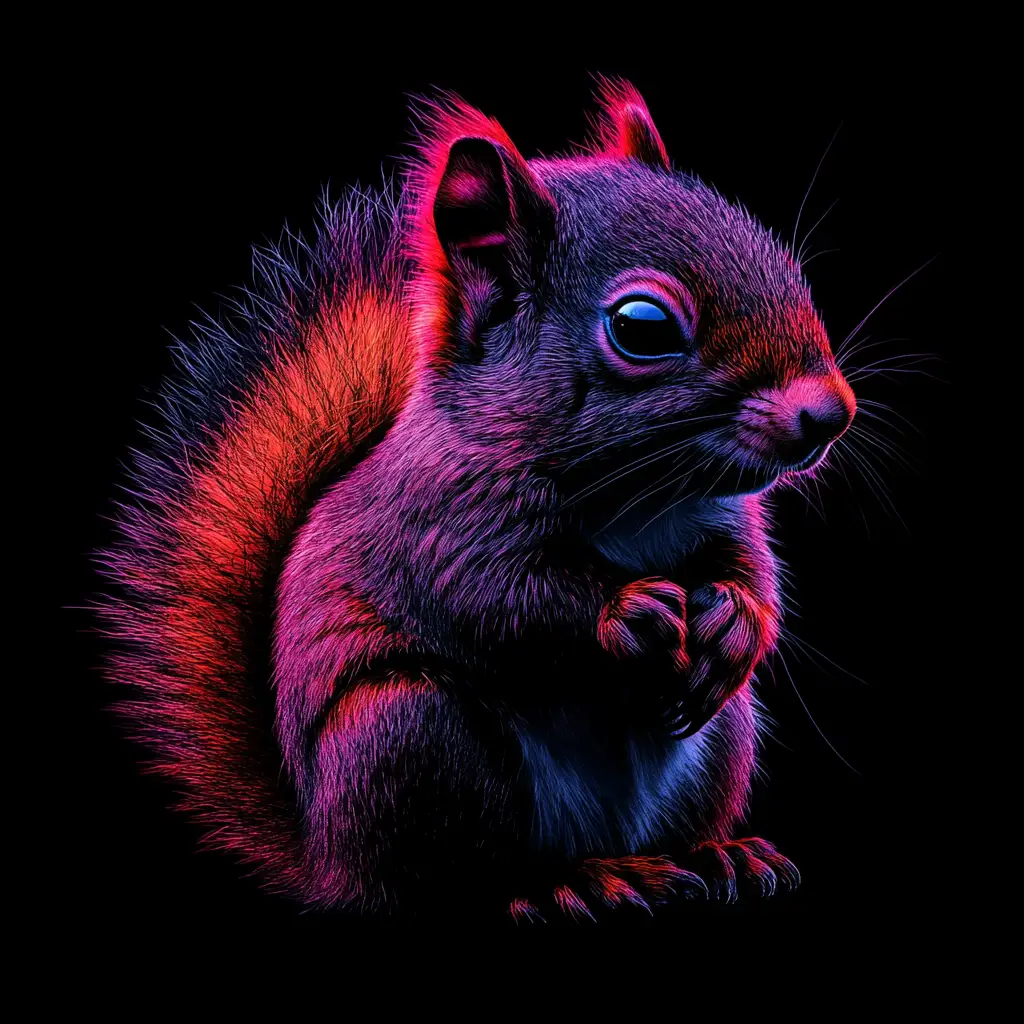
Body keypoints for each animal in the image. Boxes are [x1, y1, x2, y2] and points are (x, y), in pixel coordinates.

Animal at [97, 78, 856, 922]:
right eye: (643, 326)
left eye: (781, 260)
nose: (830, 412)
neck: (644, 498)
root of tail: (327, 858)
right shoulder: (437, 519)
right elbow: (495, 599)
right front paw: (627, 612)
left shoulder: (728, 519)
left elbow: (752, 574)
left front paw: (733, 623)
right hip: (411, 734)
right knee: (451, 874)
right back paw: (564, 883)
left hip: (724, 736)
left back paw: (713, 855)